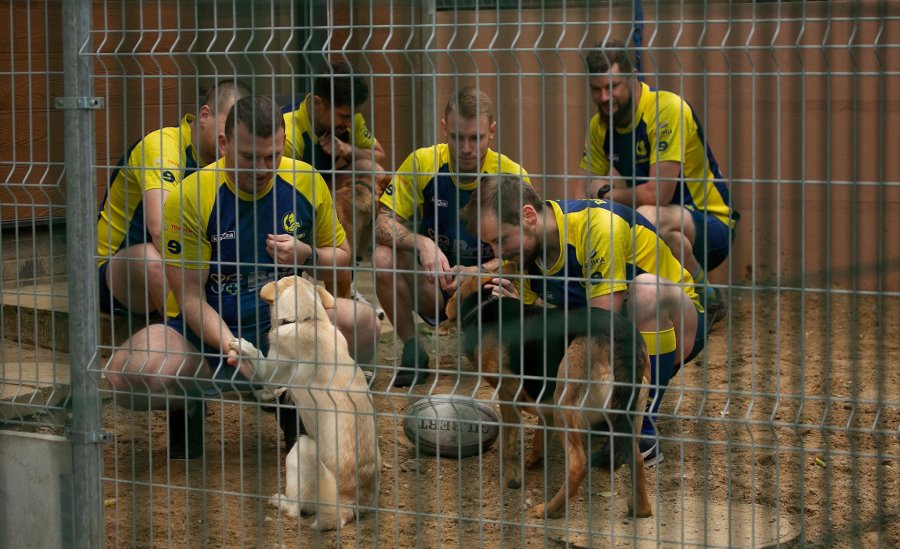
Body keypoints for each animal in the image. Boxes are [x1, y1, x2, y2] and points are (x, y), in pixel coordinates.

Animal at [230, 276, 382, 528]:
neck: (308, 320)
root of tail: (345, 506)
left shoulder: (270, 369)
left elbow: (257, 359)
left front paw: (242, 345)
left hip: (299, 449)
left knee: (295, 509)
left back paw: (279, 501)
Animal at [444, 270, 652, 520]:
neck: (484, 305)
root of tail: (622, 336)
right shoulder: (545, 403)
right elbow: (539, 436)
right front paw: (533, 460)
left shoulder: (509, 393)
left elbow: (508, 444)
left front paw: (513, 478)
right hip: (626, 413)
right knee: (637, 458)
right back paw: (641, 509)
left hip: (567, 403)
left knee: (578, 465)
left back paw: (549, 510)